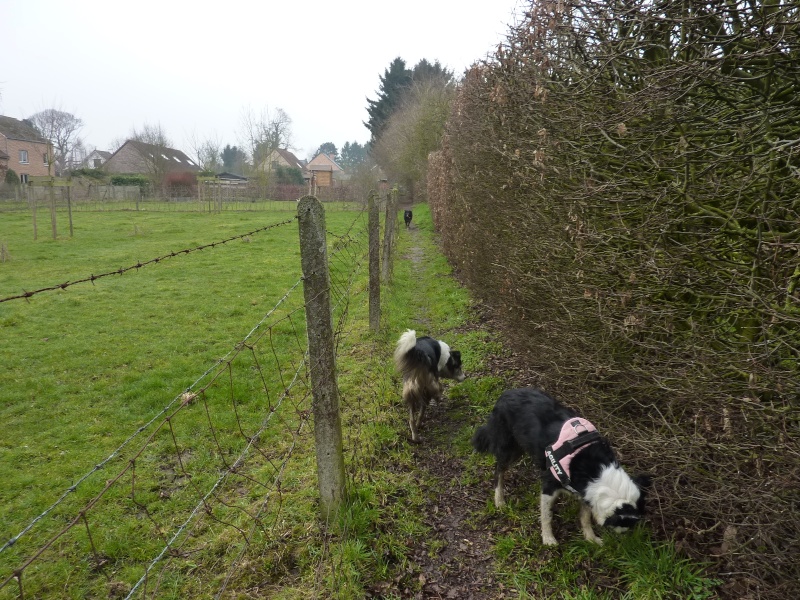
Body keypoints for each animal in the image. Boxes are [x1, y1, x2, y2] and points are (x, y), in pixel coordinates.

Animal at [468, 386, 648, 548]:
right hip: (510, 448)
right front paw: (548, 539)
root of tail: (505, 394)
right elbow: (546, 516)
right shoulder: (550, 486)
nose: (624, 535)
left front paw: (590, 538)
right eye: (623, 524)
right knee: (498, 470)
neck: (596, 470)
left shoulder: (585, 491)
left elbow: (585, 517)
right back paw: (499, 500)